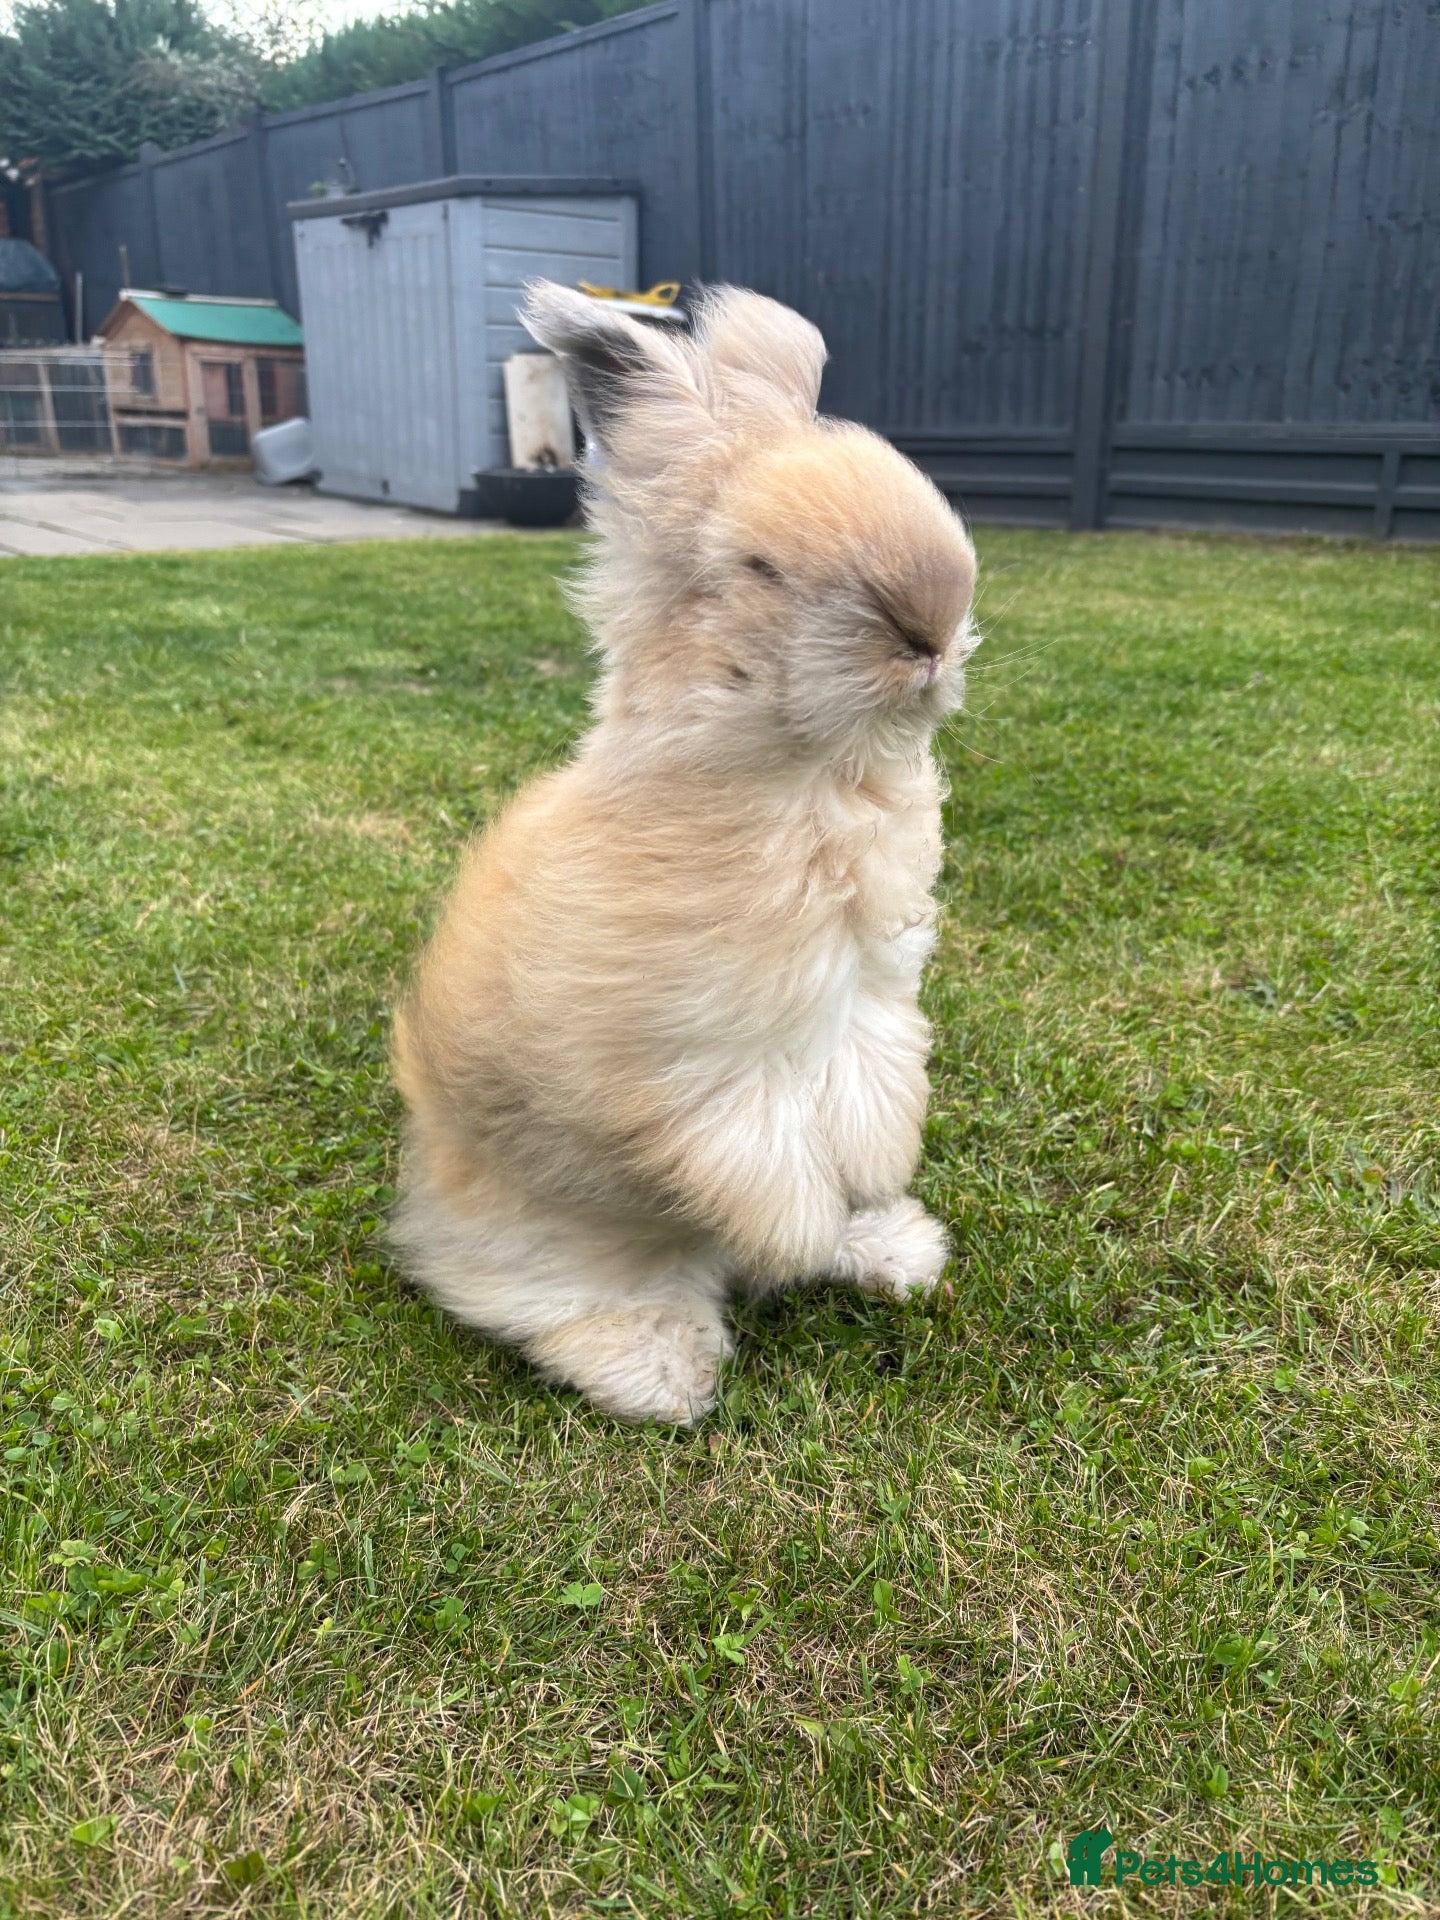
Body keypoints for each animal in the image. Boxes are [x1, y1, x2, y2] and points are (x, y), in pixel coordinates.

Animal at [390, 279, 978, 1425]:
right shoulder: (700, 1068)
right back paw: (661, 1370)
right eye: (761, 566)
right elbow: (767, 1164)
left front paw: (862, 1206)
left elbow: (869, 1115)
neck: (812, 778)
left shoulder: (870, 1010)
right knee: (539, 1295)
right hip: (565, 1241)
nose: (928, 627)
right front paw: (799, 1237)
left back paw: (892, 1252)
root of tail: (428, 1202)